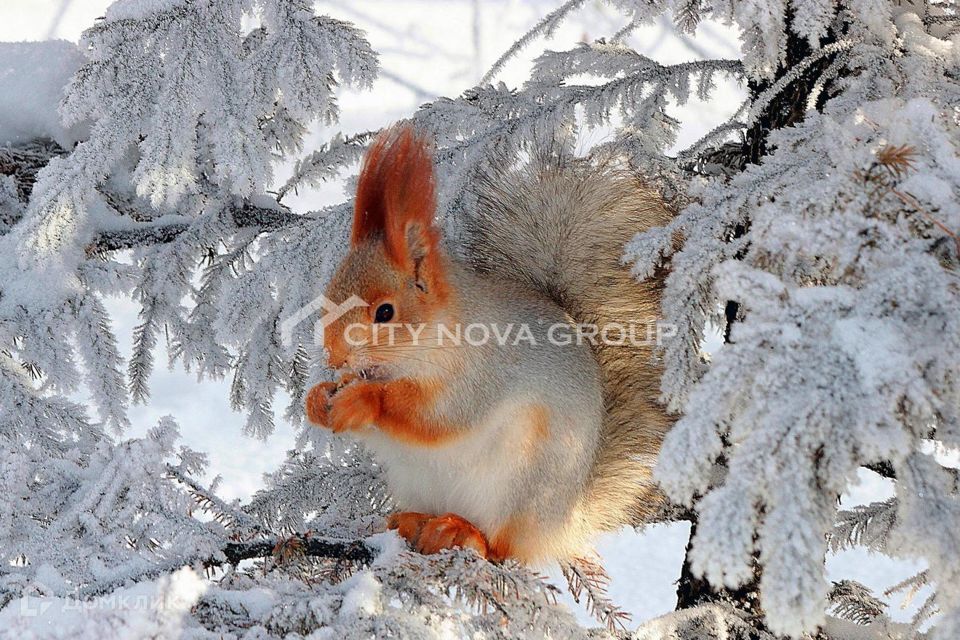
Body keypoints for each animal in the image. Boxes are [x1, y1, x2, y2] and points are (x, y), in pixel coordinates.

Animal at [304, 122, 672, 564]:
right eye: (330, 292)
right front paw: (318, 399)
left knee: (503, 547)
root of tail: (564, 521)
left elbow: (437, 417)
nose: (333, 356)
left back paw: (461, 532)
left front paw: (363, 399)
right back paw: (410, 521)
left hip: (520, 486)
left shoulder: (483, 374)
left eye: (386, 312)